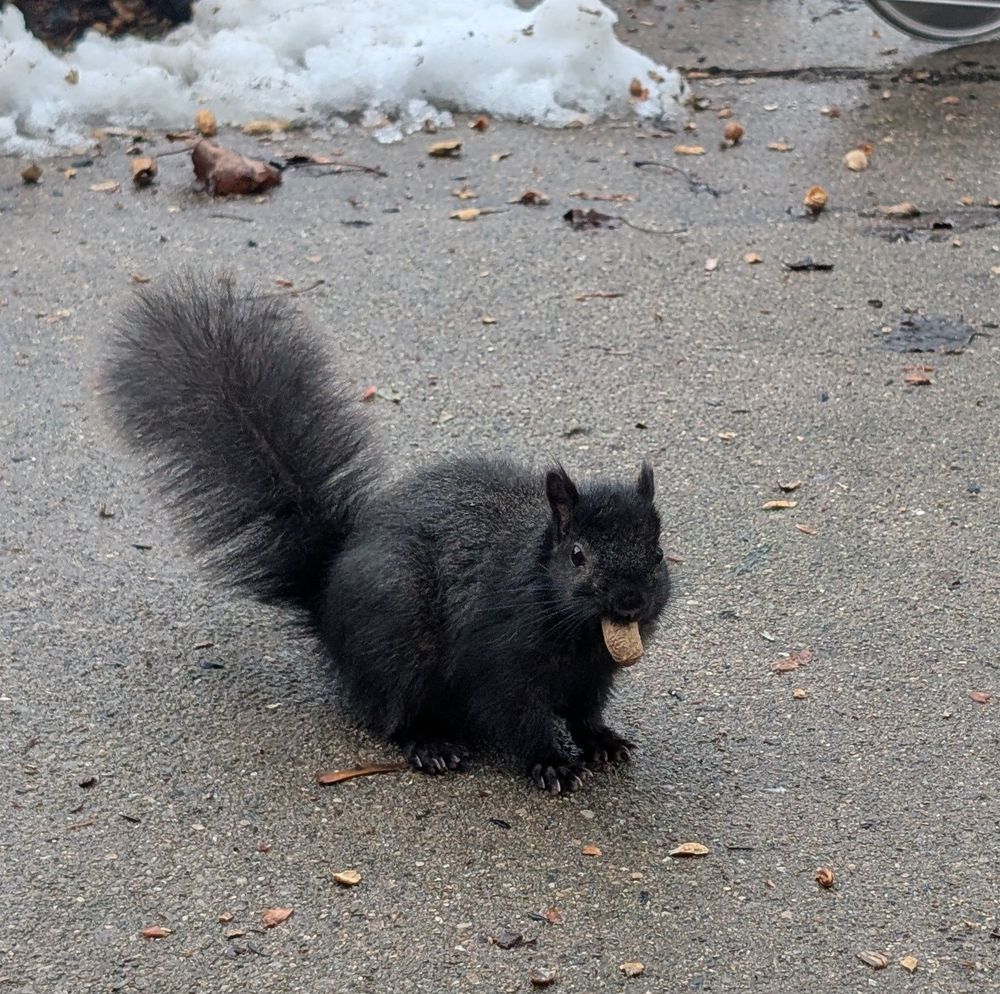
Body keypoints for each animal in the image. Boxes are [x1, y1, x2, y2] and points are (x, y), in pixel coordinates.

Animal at [103, 275, 671, 793]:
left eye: (659, 552)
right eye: (577, 555)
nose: (630, 602)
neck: (583, 634)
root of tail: (327, 598)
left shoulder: (593, 676)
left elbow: (585, 712)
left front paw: (601, 741)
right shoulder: (502, 660)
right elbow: (518, 716)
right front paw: (550, 762)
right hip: (398, 643)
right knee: (394, 713)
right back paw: (430, 744)